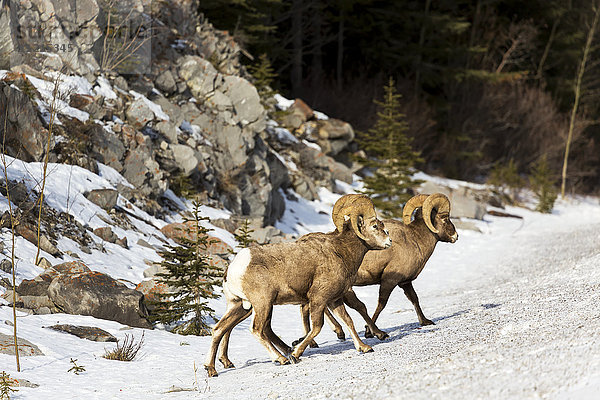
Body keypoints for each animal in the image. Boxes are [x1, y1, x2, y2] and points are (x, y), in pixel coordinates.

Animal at [205, 193, 394, 376]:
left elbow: (348, 321)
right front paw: (296, 353)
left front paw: (364, 348)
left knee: (219, 329)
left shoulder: (335, 300)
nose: (389, 241)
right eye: (375, 226)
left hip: (240, 306)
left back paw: (212, 369)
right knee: (257, 330)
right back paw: (282, 358)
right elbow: (317, 326)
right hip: (262, 304)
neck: (341, 252)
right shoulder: (318, 299)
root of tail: (234, 268)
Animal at [298, 193, 458, 340]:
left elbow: (414, 299)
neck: (415, 240)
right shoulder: (389, 280)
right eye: (445, 218)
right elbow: (381, 304)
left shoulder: (405, 282)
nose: (455, 236)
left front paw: (425, 321)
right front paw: (370, 332)